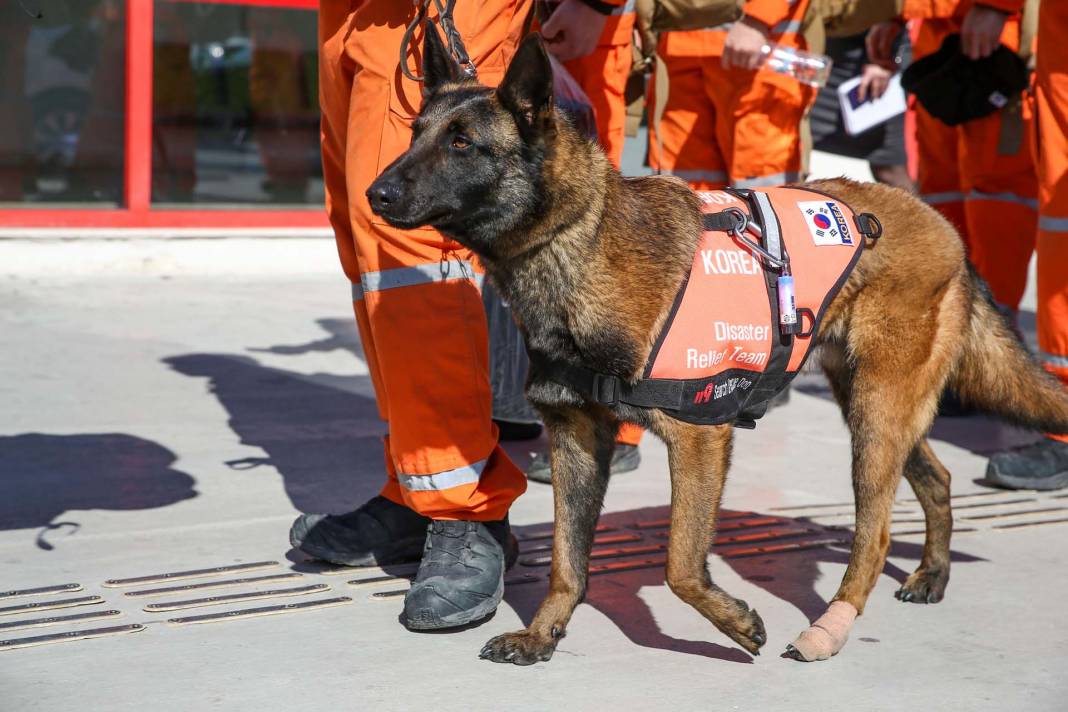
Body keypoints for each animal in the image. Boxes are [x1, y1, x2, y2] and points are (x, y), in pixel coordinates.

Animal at [367, 25, 1068, 666]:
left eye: (462, 143)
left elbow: (679, 562)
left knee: (872, 534)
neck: (576, 240)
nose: (375, 192)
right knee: (937, 477)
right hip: (875, 408)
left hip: (876, 414)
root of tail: (942, 223)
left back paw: (830, 628)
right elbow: (568, 560)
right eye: (416, 133)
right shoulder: (576, 438)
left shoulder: (699, 436)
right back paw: (933, 574)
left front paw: (733, 622)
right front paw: (543, 635)